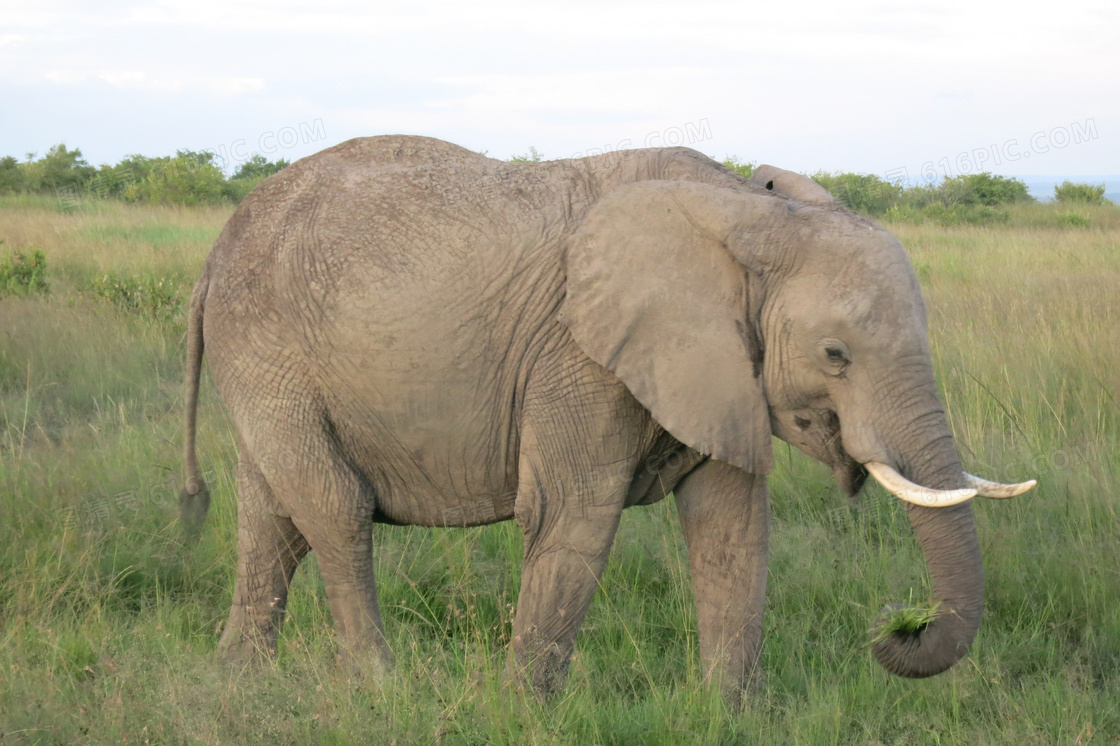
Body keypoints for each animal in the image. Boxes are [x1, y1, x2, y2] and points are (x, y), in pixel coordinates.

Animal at [181, 137, 1030, 703]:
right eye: (835, 354)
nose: (898, 626)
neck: (750, 211)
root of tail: (212, 255)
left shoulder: (718, 367)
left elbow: (732, 531)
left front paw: (731, 716)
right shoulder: (579, 355)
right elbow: (571, 515)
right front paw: (523, 714)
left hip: (264, 362)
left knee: (272, 519)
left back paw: (236, 684)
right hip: (265, 347)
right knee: (334, 509)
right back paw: (380, 690)